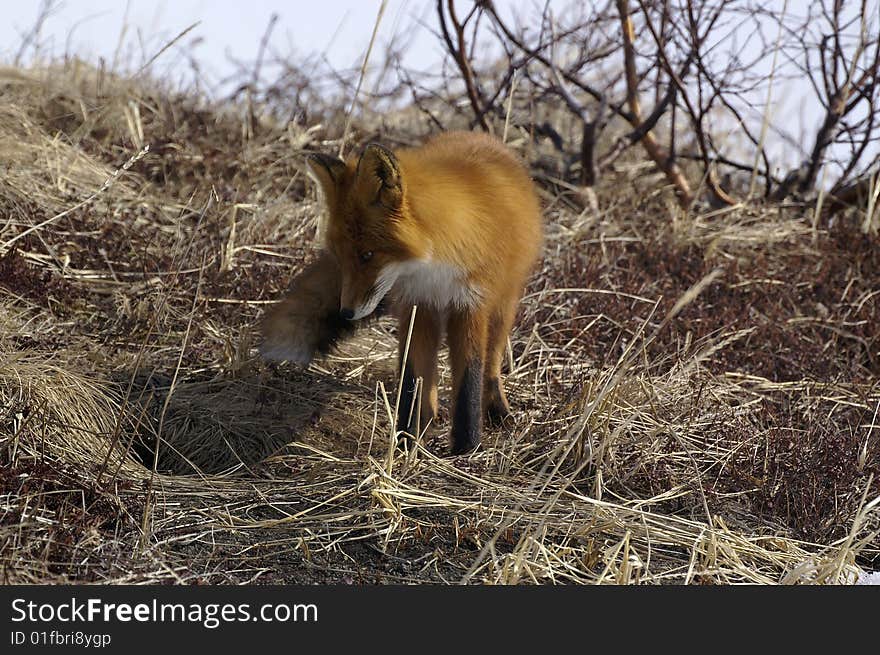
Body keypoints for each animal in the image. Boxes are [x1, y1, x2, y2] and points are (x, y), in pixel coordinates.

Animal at [258, 131, 540, 454]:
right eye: (341, 257)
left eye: (367, 254)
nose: (346, 312)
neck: (432, 266)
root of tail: (480, 136)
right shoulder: (418, 304)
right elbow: (411, 378)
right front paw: (406, 441)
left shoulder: (470, 304)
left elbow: (469, 378)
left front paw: (466, 448)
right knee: (430, 380)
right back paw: (429, 418)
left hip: (504, 304)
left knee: (491, 364)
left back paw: (497, 410)